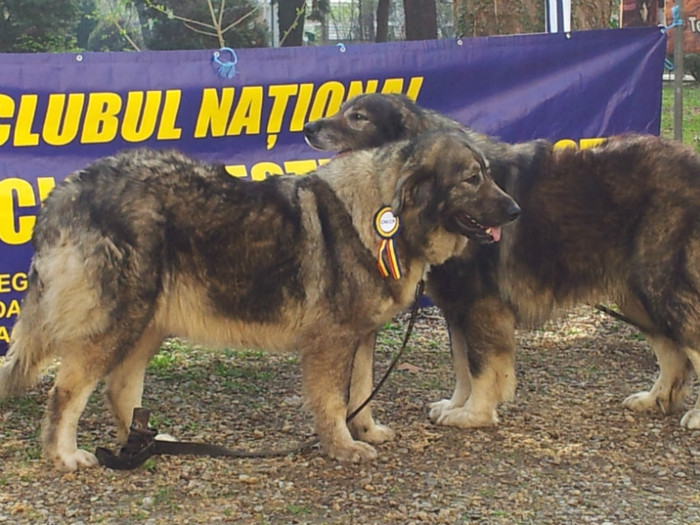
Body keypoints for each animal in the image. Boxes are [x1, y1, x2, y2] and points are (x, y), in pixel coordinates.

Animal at [0, 131, 520, 470]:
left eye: (488, 175)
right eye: (472, 178)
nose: (515, 209)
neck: (385, 213)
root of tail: (67, 191)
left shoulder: (362, 335)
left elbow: (361, 392)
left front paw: (366, 431)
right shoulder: (331, 339)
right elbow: (334, 401)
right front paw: (342, 446)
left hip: (149, 324)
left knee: (118, 389)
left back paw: (147, 441)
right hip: (118, 321)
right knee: (67, 391)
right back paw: (63, 455)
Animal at [304, 92, 700, 432]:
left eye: (358, 117)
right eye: (343, 109)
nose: (308, 128)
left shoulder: (481, 303)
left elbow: (481, 366)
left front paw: (474, 414)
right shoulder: (457, 305)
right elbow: (462, 363)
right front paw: (457, 404)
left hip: (660, 287)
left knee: (689, 342)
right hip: (638, 295)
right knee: (673, 352)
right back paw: (656, 398)